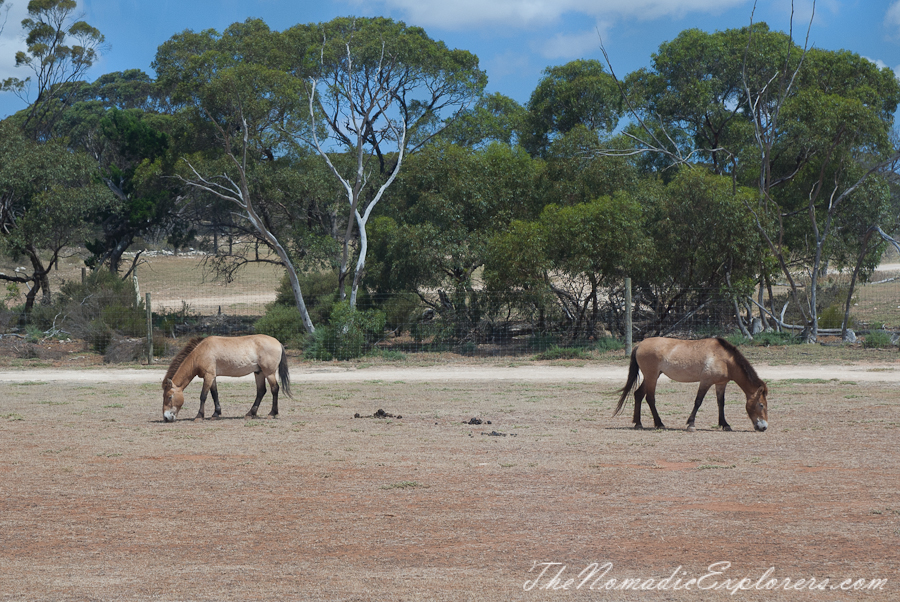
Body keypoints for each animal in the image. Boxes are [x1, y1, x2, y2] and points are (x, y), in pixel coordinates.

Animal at [160, 332, 290, 422]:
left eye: (169, 396)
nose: (166, 417)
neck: (201, 352)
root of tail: (278, 343)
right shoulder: (212, 377)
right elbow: (214, 394)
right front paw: (216, 414)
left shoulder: (208, 376)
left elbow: (203, 396)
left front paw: (199, 416)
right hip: (259, 372)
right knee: (261, 391)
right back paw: (250, 414)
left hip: (269, 373)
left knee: (274, 389)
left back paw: (272, 413)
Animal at [616, 338, 768, 432]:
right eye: (761, 405)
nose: (764, 427)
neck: (724, 359)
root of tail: (639, 345)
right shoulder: (705, 382)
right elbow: (698, 401)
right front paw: (691, 424)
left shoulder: (720, 384)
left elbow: (721, 403)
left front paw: (725, 424)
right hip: (652, 376)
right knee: (650, 398)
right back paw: (659, 424)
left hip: (651, 376)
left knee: (638, 394)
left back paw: (638, 423)